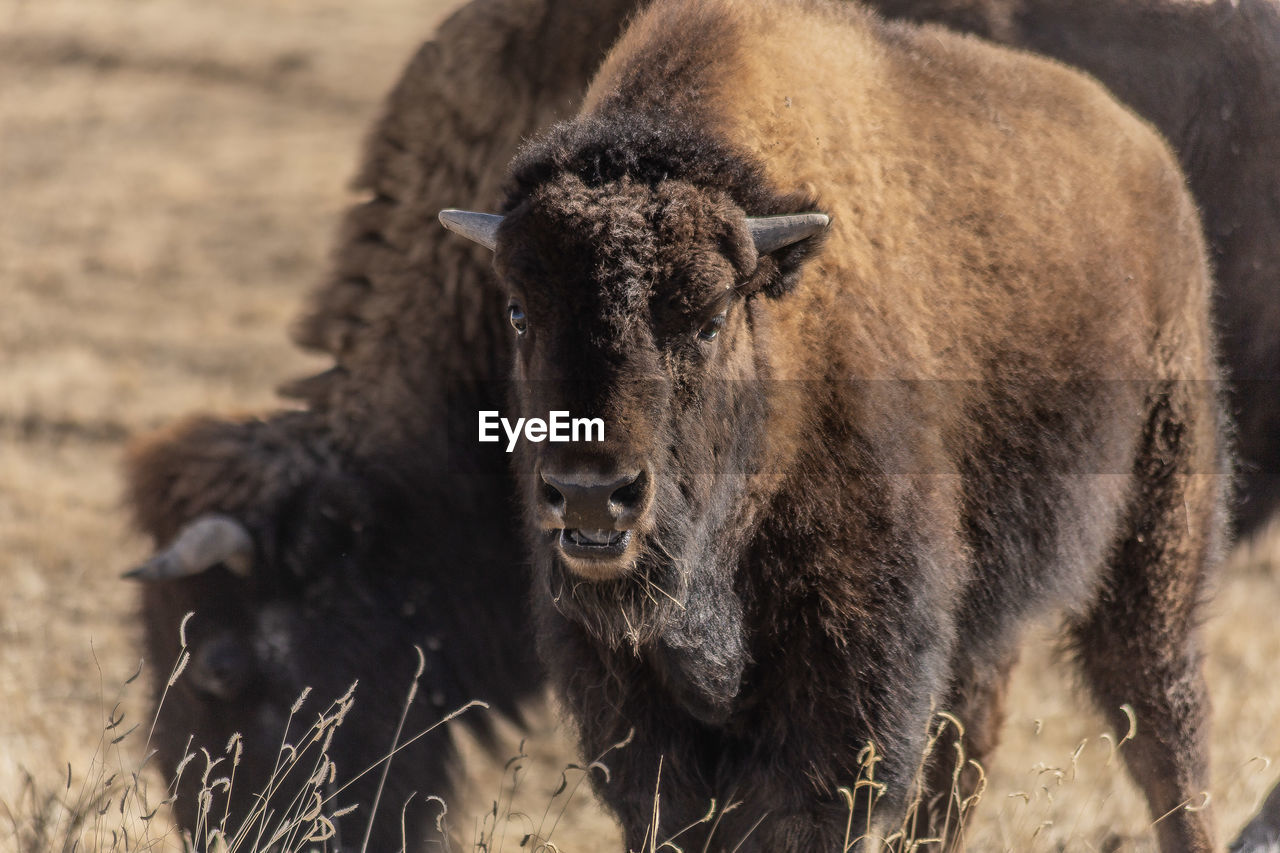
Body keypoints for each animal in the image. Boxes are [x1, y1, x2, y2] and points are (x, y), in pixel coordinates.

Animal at [442, 0, 1228, 845]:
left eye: (710, 317)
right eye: (520, 312)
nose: (592, 496)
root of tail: (1151, 160)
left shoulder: (858, 652)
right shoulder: (624, 682)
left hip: (1160, 522)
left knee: (1158, 716)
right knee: (973, 742)